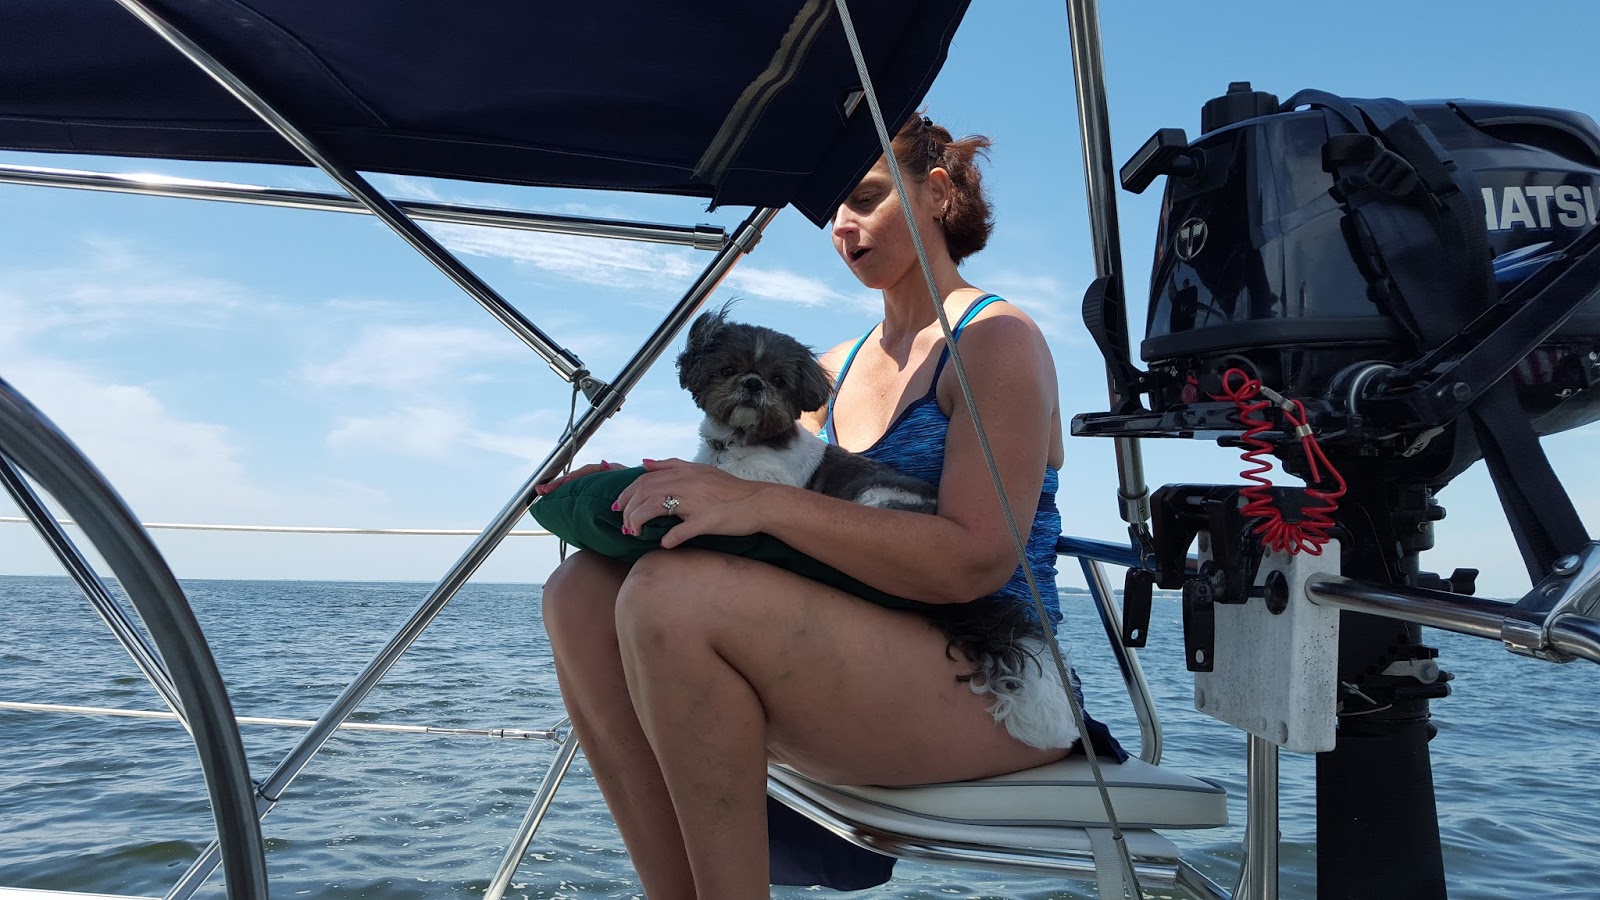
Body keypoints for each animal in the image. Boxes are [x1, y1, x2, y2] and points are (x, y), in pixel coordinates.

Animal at [675, 306, 938, 513]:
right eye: (727, 370)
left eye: (778, 380)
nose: (753, 383)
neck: (736, 440)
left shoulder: (770, 477)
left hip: (875, 495)